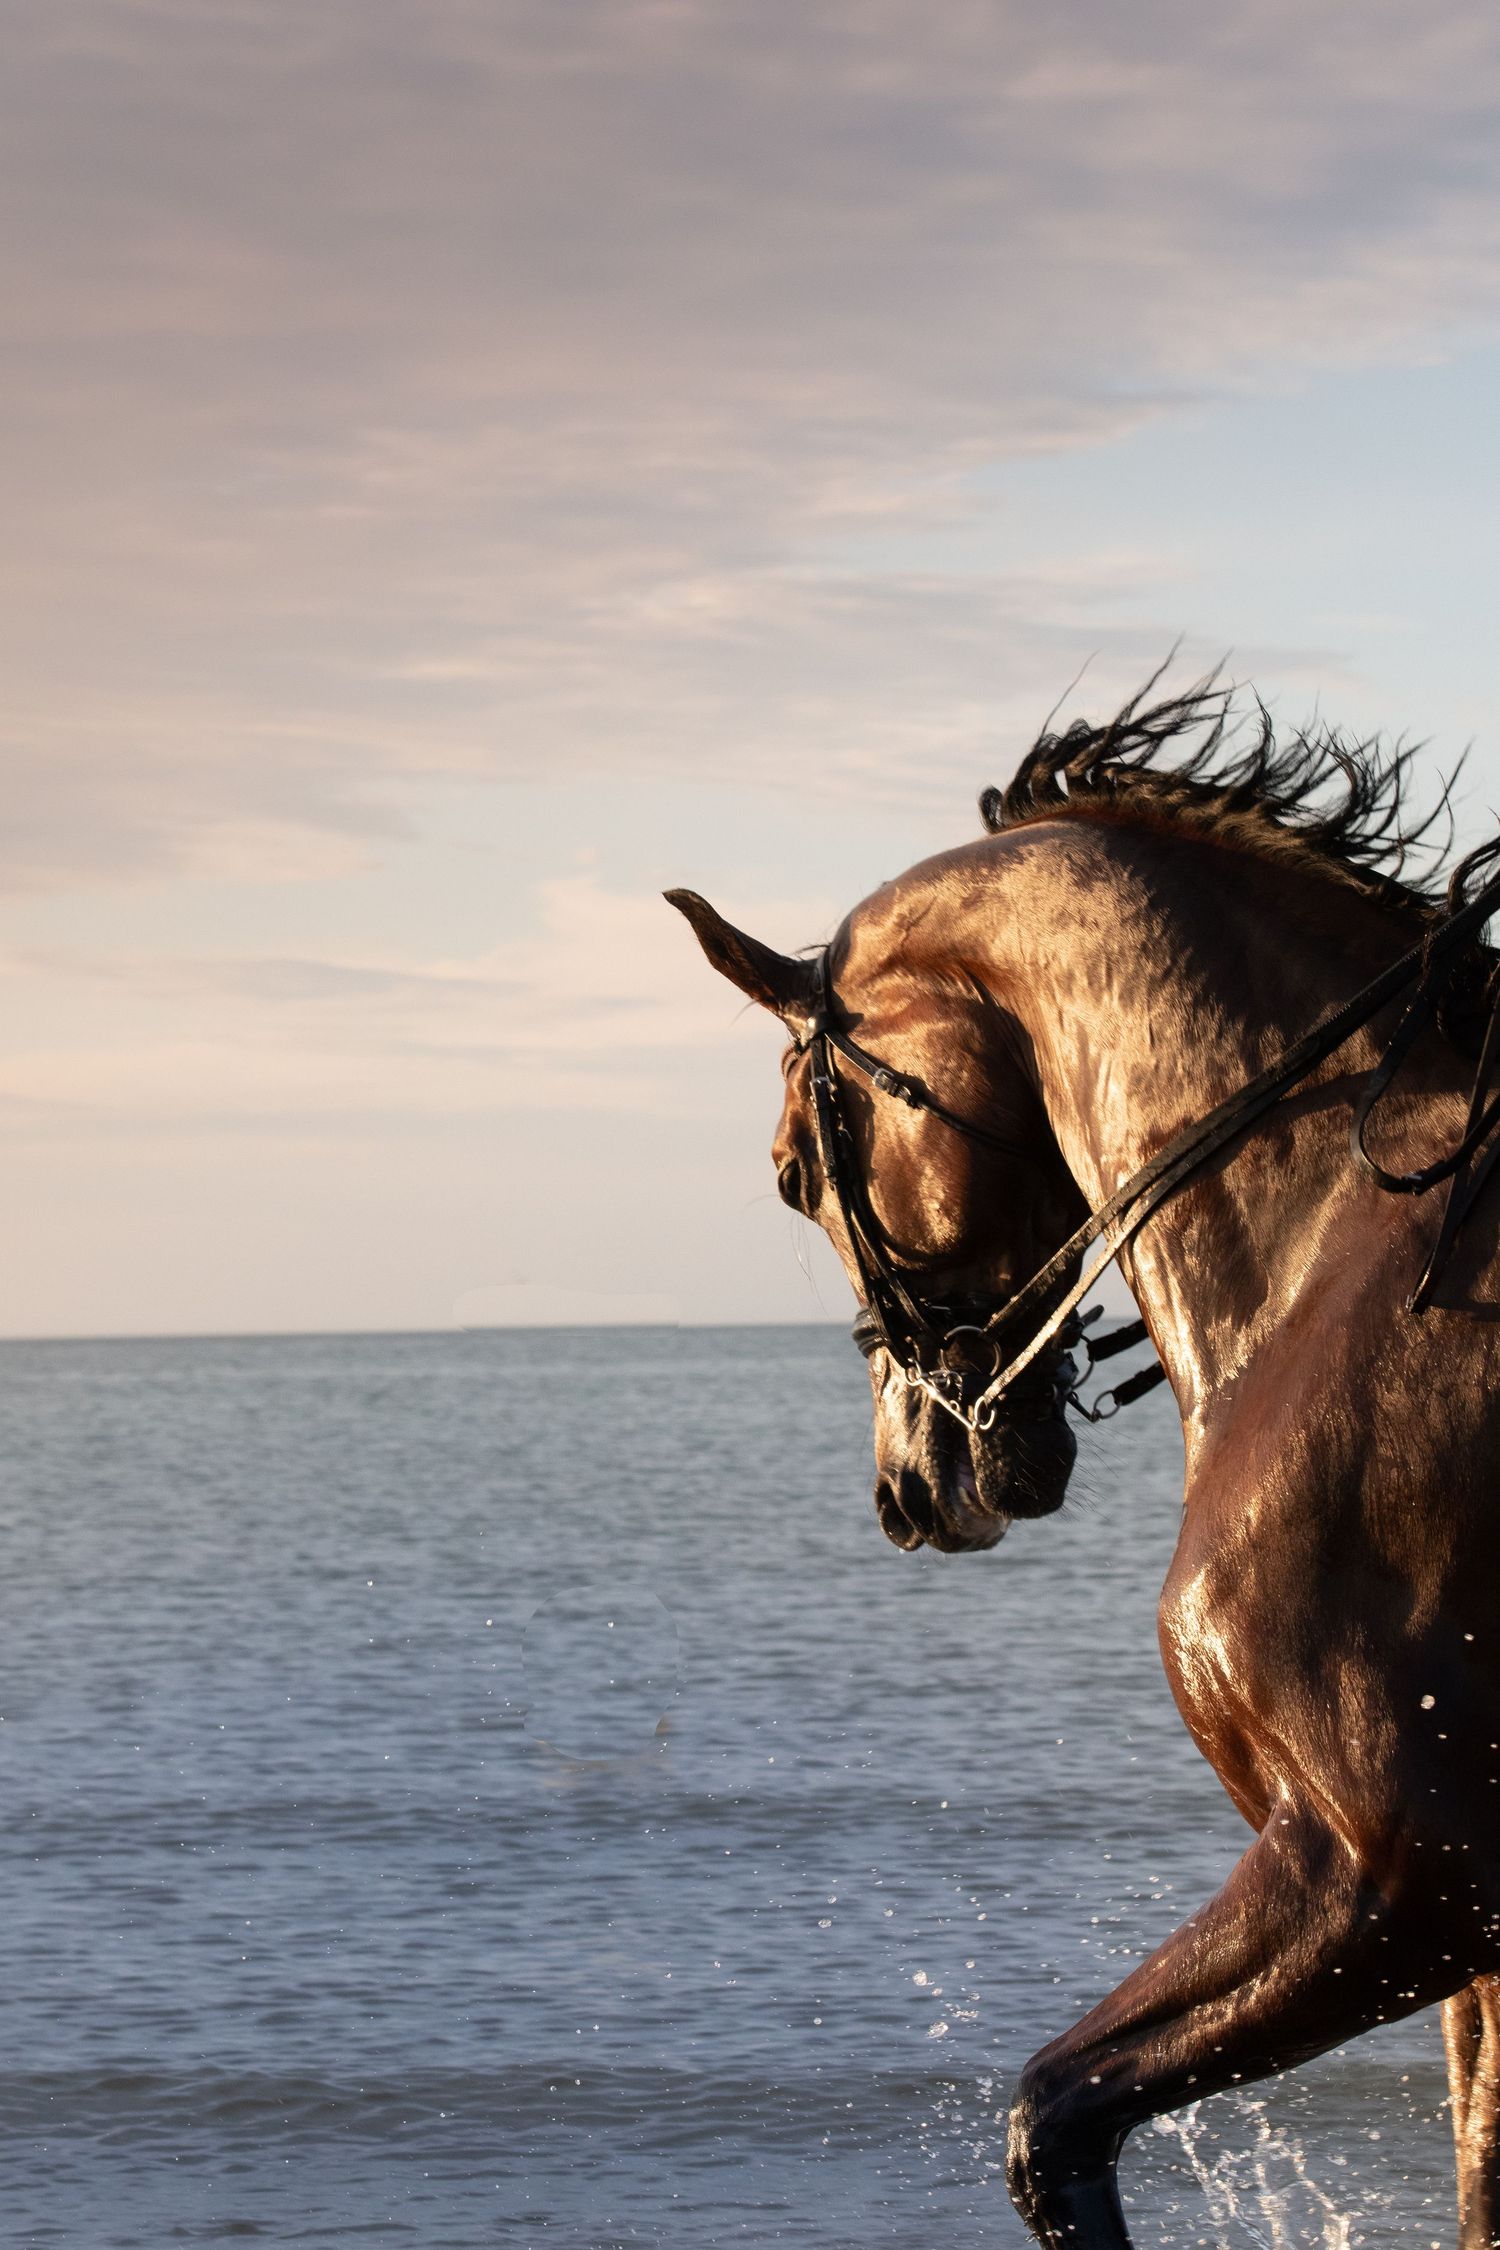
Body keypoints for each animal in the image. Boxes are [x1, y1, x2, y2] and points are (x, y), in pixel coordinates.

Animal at [667, 681, 1500, 2249]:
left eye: (794, 1174)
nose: (911, 1484)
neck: (1340, 1237)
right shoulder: (1448, 1928)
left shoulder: (1387, 1868)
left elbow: (1049, 2120)